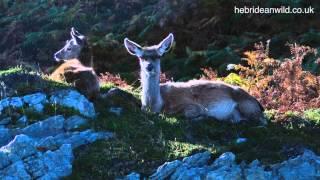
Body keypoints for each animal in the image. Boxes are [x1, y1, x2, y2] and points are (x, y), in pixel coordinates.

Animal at [124, 33, 266, 124]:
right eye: (141, 57)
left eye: (158, 56)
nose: (149, 67)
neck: (155, 105)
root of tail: (259, 104)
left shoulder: (191, 105)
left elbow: (188, 113)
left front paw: (203, 116)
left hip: (247, 106)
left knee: (261, 121)